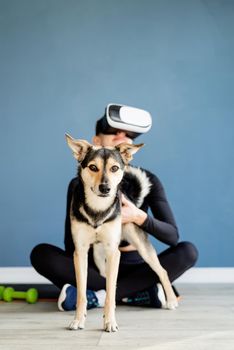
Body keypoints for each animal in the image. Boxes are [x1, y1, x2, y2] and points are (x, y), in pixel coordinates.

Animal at [64, 135, 177, 332]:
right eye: (93, 167)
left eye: (114, 168)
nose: (105, 188)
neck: (98, 208)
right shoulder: (80, 252)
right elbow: (82, 293)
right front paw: (78, 320)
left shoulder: (113, 251)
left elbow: (111, 293)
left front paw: (109, 322)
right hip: (100, 257)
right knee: (106, 278)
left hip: (140, 247)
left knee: (162, 270)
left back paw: (170, 300)